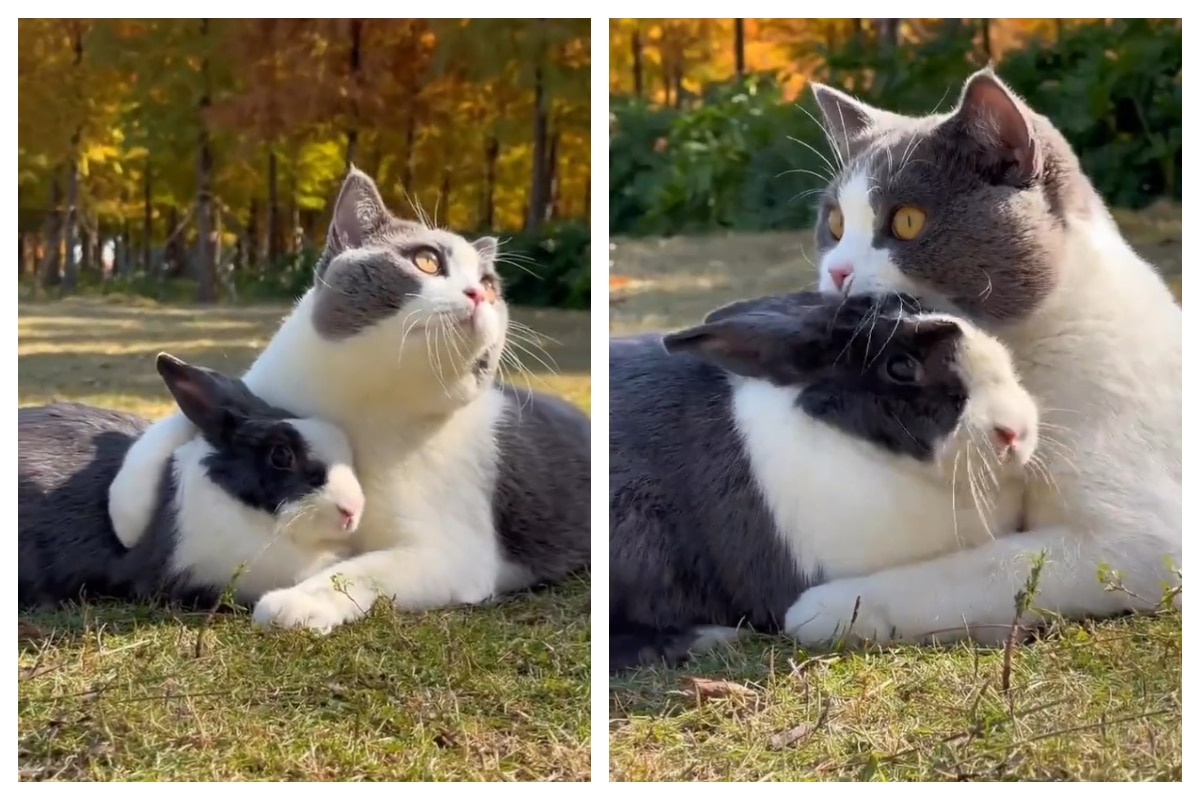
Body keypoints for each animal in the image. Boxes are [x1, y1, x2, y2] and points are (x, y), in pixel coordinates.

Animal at [103, 167, 590, 633]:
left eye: (490, 285)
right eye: (427, 260)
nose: (478, 295)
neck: (368, 396)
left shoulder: (456, 552)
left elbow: (369, 567)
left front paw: (297, 601)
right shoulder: (262, 393)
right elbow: (179, 417)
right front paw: (127, 511)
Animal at [782, 67, 1185, 642]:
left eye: (907, 221)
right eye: (834, 224)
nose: (837, 271)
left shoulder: (1145, 535)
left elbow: (990, 567)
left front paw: (829, 607)